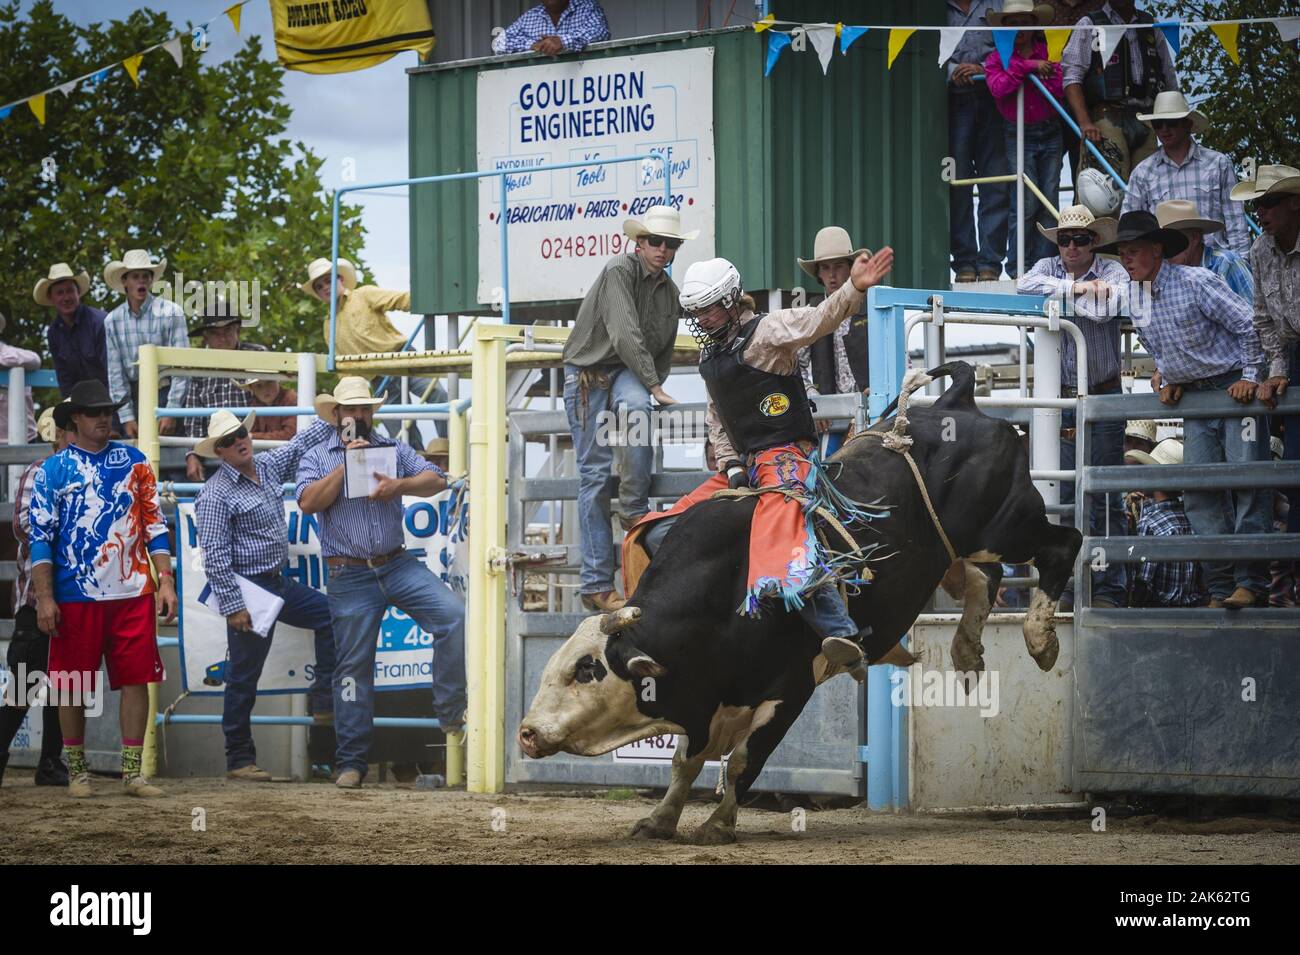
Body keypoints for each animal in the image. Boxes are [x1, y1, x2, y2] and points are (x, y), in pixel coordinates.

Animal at [514, 361, 1076, 841]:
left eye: (586, 669)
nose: (526, 732)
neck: (716, 603)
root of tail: (956, 403)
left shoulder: (790, 686)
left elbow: (746, 759)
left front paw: (717, 825)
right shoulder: (703, 700)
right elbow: (685, 762)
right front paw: (660, 820)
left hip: (1009, 523)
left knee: (1062, 544)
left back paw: (1040, 639)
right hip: (964, 546)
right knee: (985, 575)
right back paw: (966, 651)